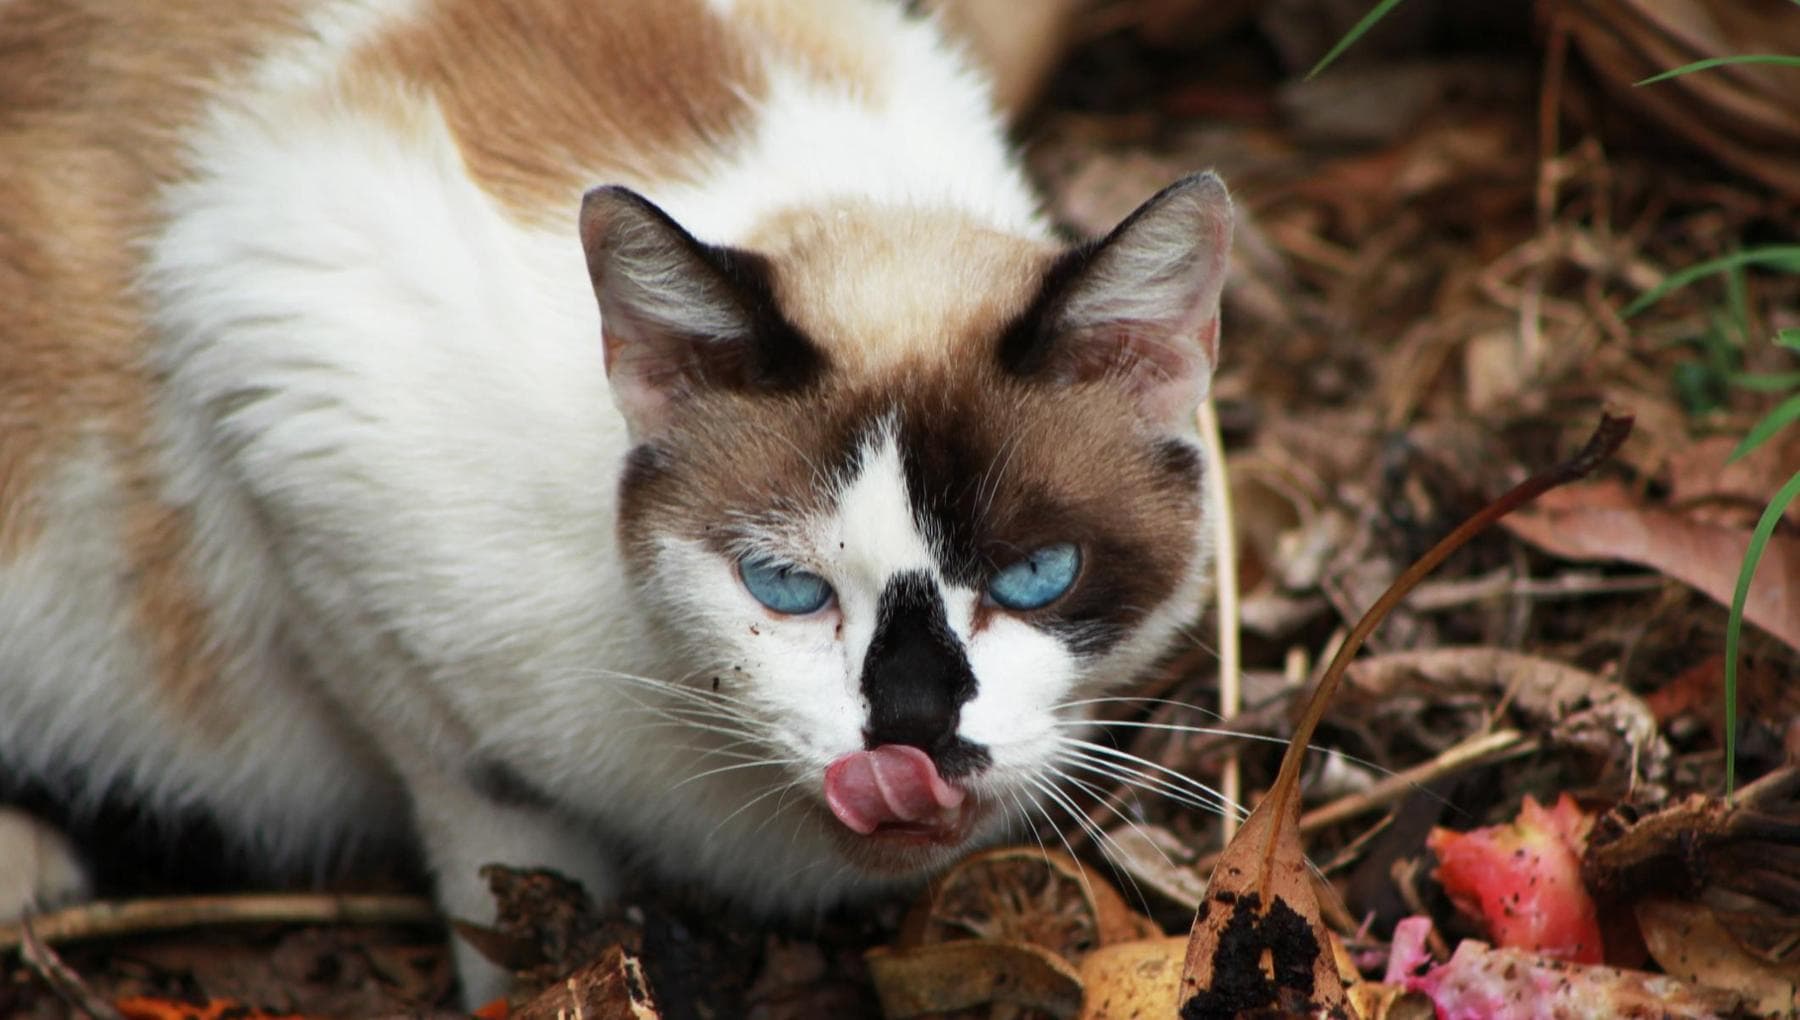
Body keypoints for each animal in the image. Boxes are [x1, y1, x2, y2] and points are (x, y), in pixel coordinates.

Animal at [0, 0, 1231, 1007]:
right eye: (785, 588)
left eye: (1037, 575)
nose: (911, 742)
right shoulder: (280, 397)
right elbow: (493, 818)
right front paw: (547, 970)